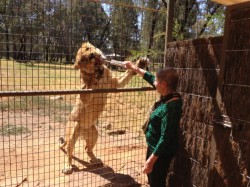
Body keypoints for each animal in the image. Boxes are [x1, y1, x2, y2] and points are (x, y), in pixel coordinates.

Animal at [59, 42, 148, 174]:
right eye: (84, 59)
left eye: (88, 48)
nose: (92, 55)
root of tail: (82, 130)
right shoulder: (83, 93)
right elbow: (88, 85)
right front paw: (94, 76)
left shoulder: (114, 83)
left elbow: (125, 75)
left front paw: (140, 64)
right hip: (73, 130)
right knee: (70, 151)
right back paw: (67, 167)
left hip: (93, 133)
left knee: (87, 148)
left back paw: (95, 160)